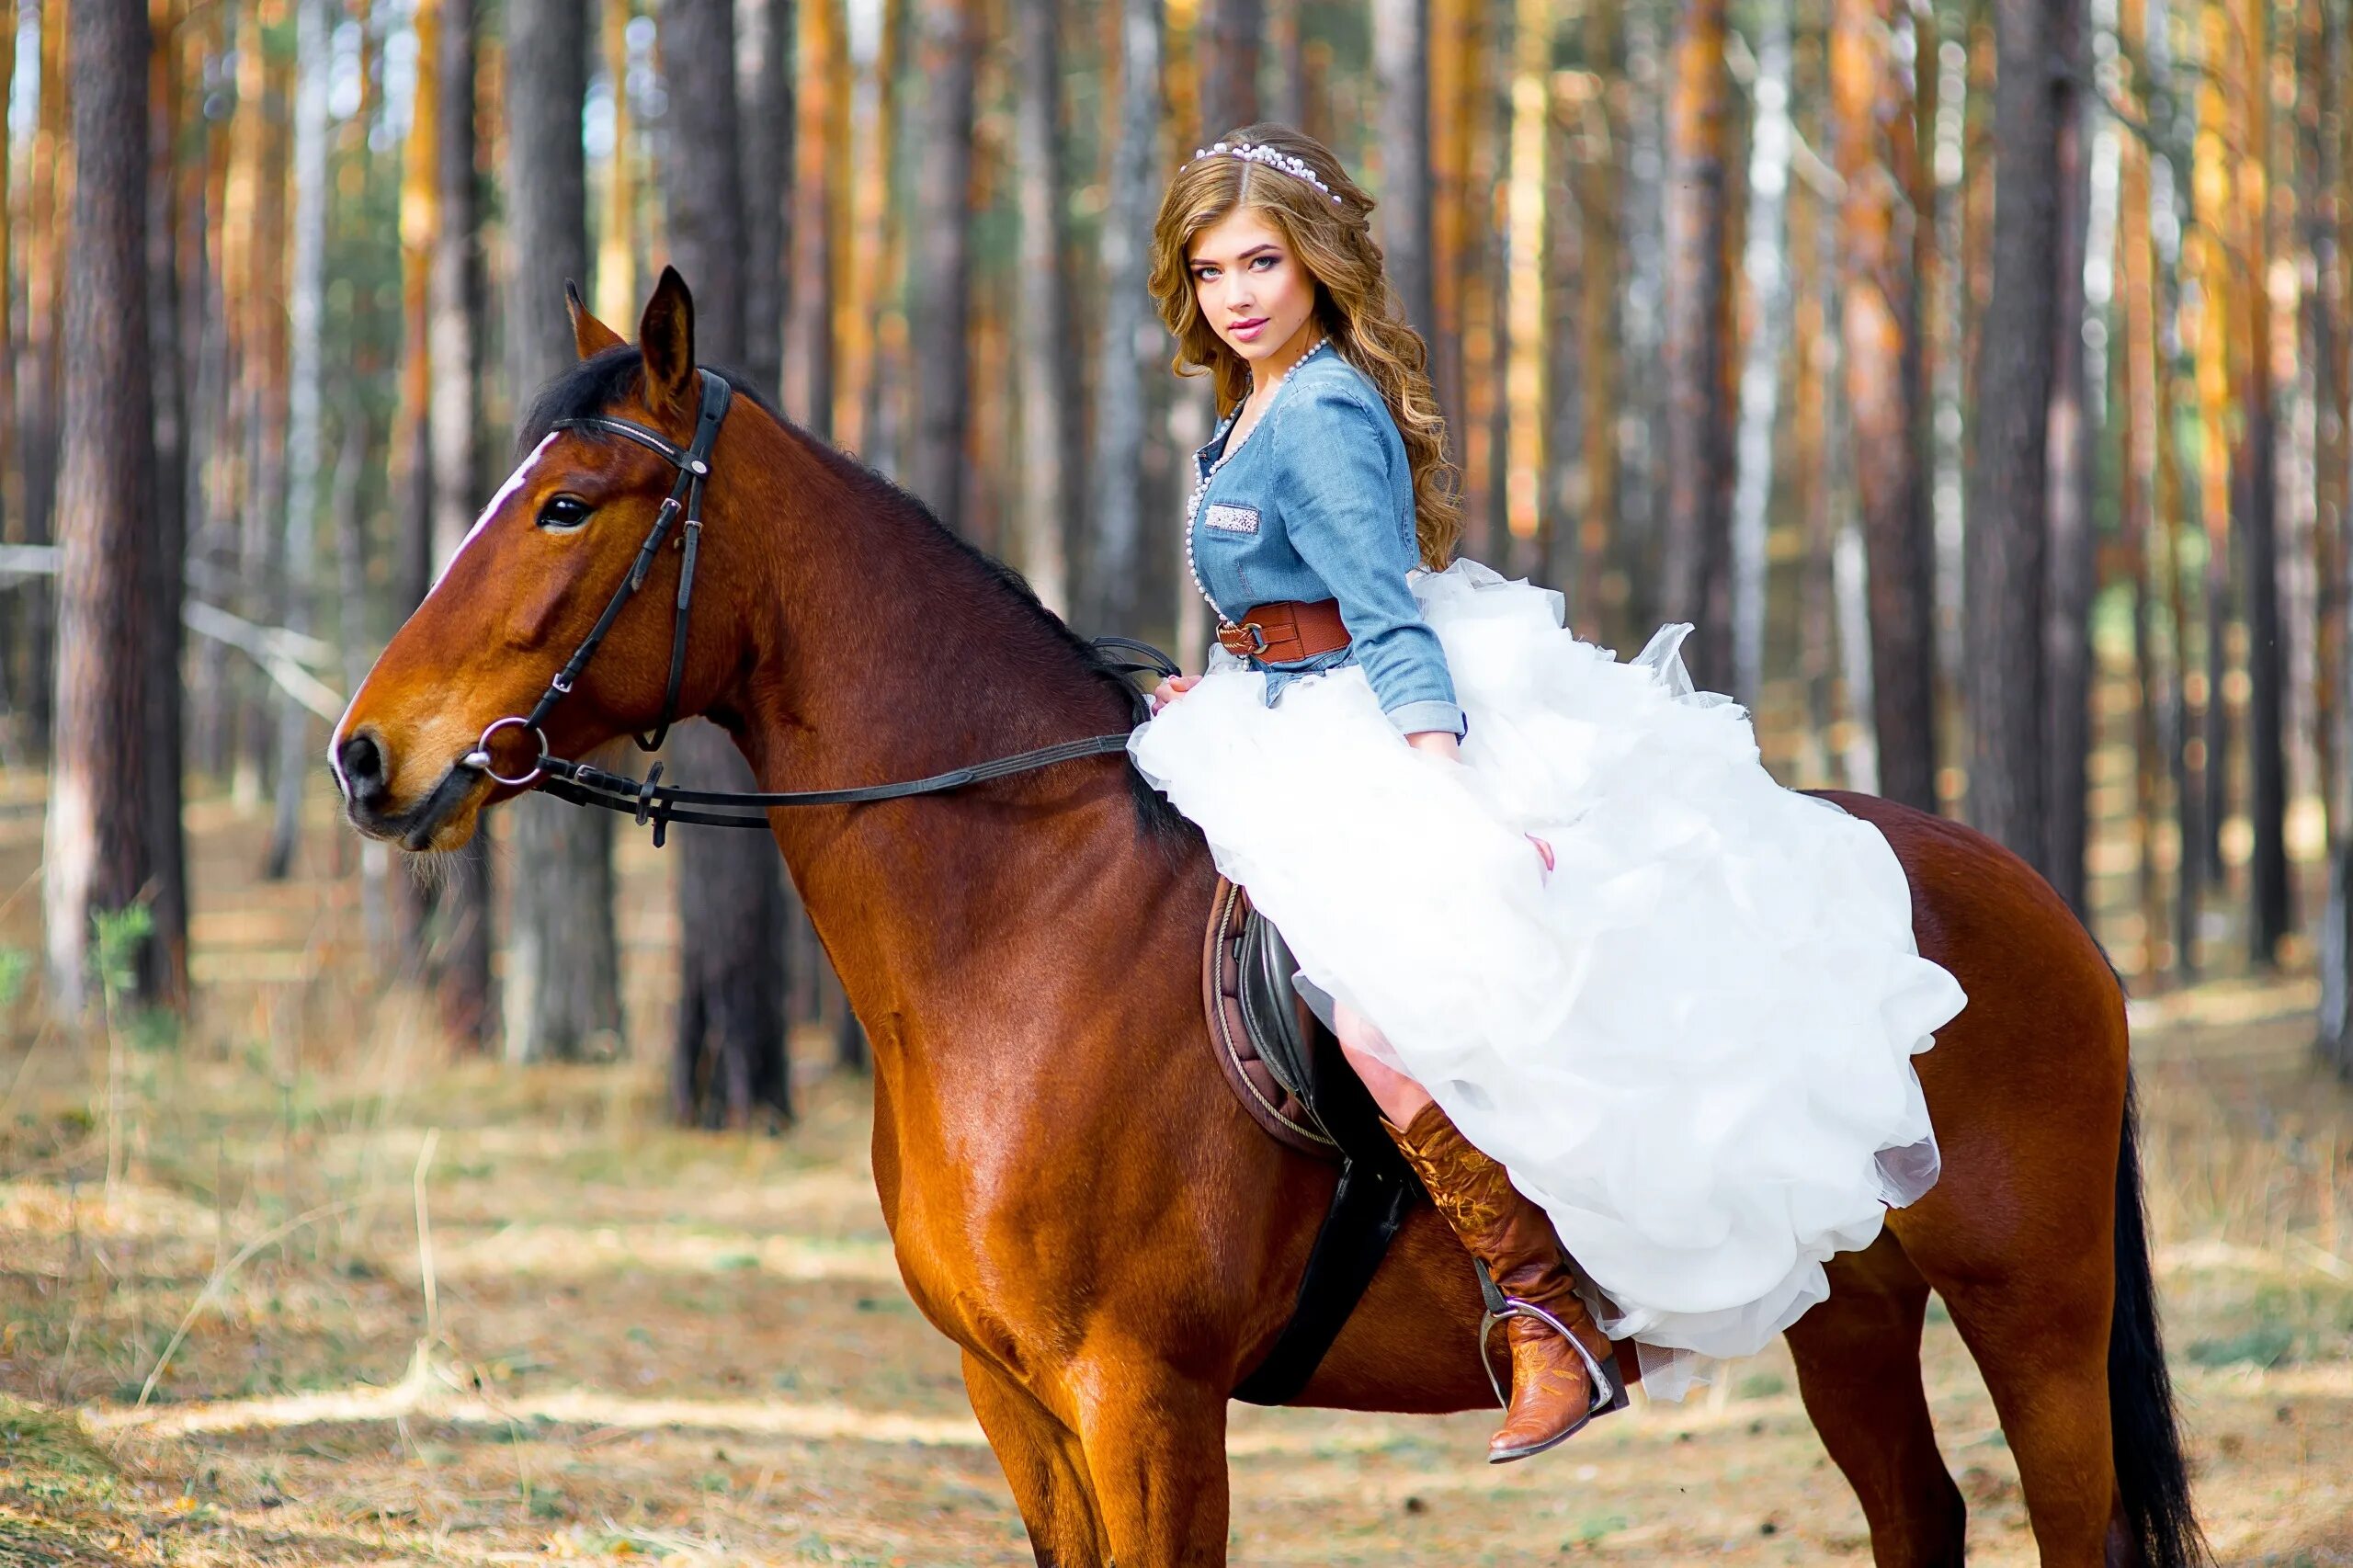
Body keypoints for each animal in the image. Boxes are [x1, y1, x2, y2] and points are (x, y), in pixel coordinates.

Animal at [331, 268, 2202, 1562]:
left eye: (570, 503)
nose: (366, 756)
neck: (1023, 931)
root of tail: (2042, 905)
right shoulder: (1015, 1400)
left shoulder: (1142, 1396)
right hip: (1850, 1312)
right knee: (1920, 1517)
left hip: (2034, 1308)